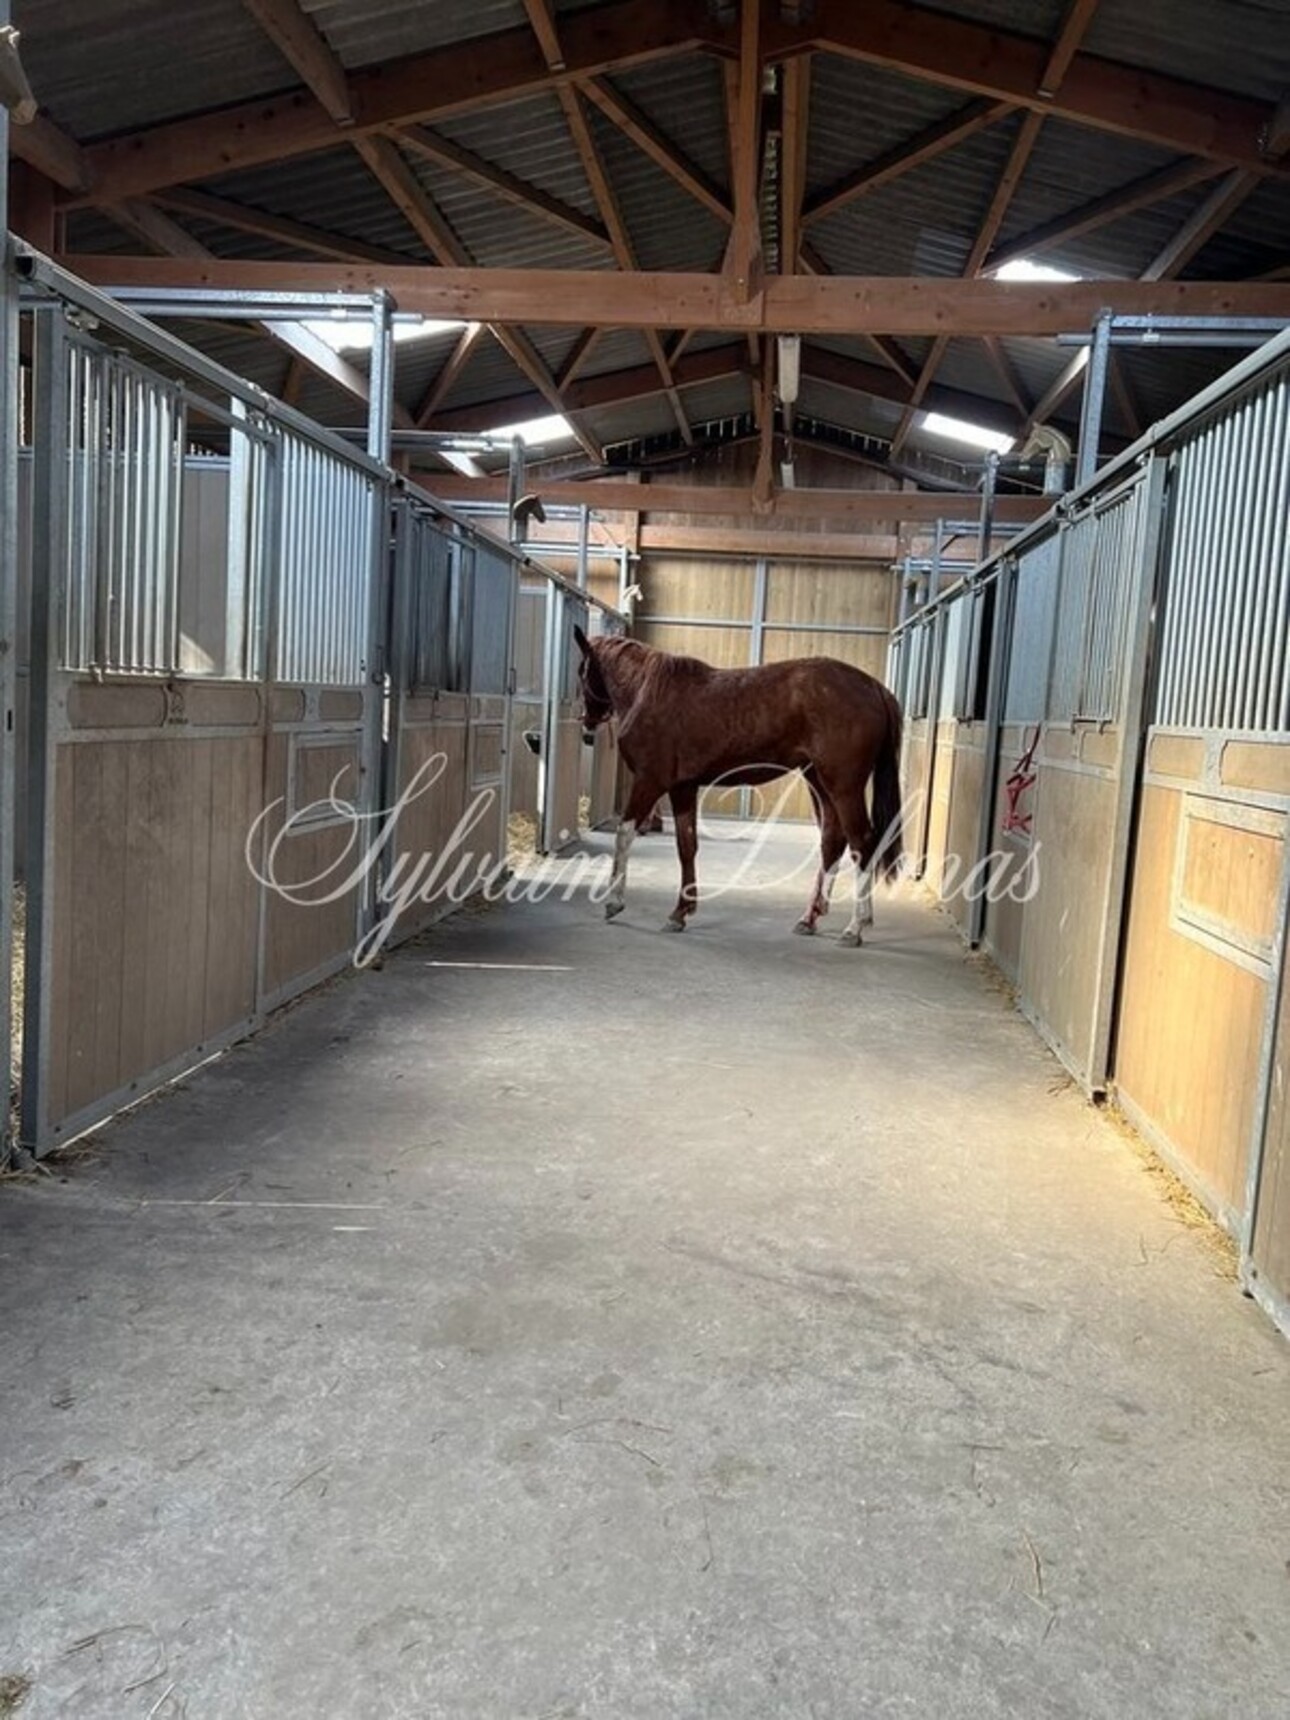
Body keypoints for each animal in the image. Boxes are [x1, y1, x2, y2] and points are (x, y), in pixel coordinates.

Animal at [577, 629, 908, 949]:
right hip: (819, 782)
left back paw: (854, 928)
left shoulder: (649, 781)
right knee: (832, 840)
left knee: (862, 843)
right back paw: (810, 918)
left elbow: (625, 834)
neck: (648, 691)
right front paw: (680, 912)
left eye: (582, 671)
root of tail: (874, 688)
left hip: (843, 787)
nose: (587, 728)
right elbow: (687, 847)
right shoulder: (683, 788)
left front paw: (614, 903)